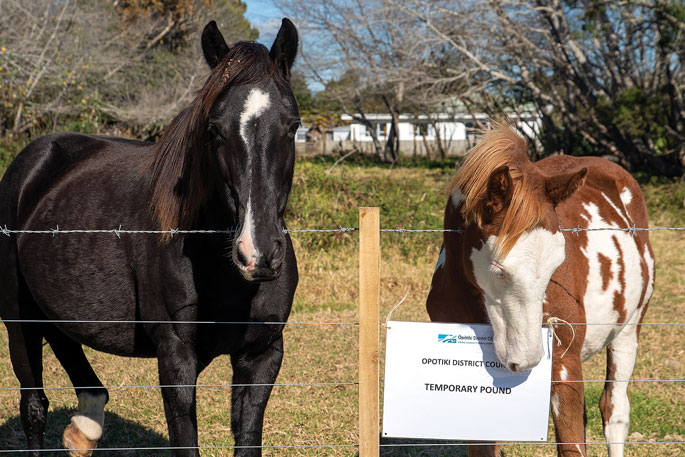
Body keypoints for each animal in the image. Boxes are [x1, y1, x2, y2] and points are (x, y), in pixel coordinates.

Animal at [0, 18, 301, 457]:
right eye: (214, 128)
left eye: (293, 126)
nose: (257, 253)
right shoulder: (175, 358)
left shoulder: (262, 356)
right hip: (17, 315)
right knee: (34, 405)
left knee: (66, 344)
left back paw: (85, 426)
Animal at [426, 126, 654, 457]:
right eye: (498, 269)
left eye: (557, 264)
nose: (529, 358)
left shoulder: (564, 362)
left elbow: (572, 445)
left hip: (628, 330)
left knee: (615, 411)